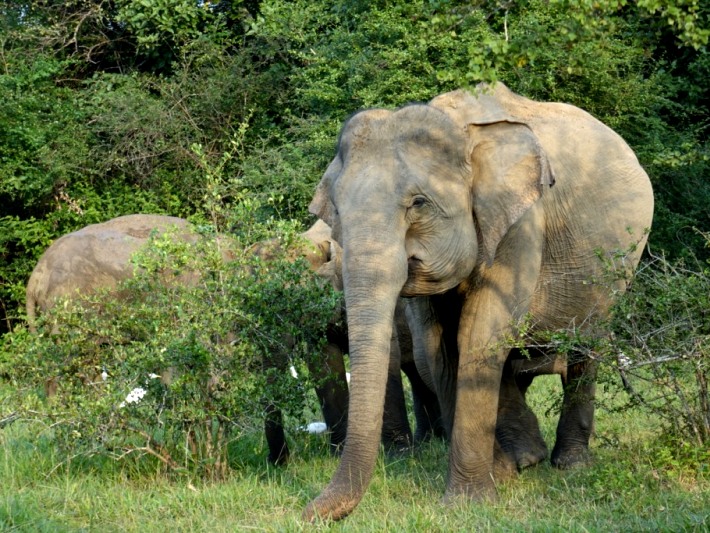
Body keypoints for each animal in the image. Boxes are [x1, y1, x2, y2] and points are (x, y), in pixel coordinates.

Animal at [304, 83, 652, 520]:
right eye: (335, 211)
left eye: (418, 204)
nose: (307, 512)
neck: (459, 128)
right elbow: (434, 349)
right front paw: (500, 476)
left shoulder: (522, 221)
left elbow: (481, 333)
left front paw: (468, 500)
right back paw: (527, 456)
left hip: (614, 268)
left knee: (585, 345)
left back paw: (569, 464)